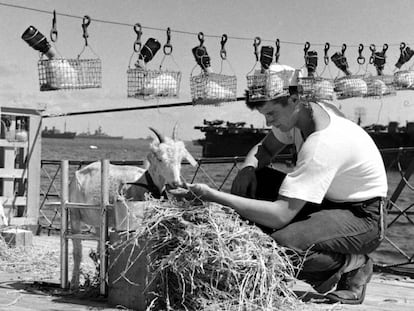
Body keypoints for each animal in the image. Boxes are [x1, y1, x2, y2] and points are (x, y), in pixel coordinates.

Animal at [68, 127, 197, 290]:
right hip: (74, 212)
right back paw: (74, 283)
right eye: (160, 159)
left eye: (180, 160)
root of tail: (76, 175)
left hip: (98, 219)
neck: (145, 181)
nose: (176, 183)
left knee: (98, 249)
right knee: (77, 250)